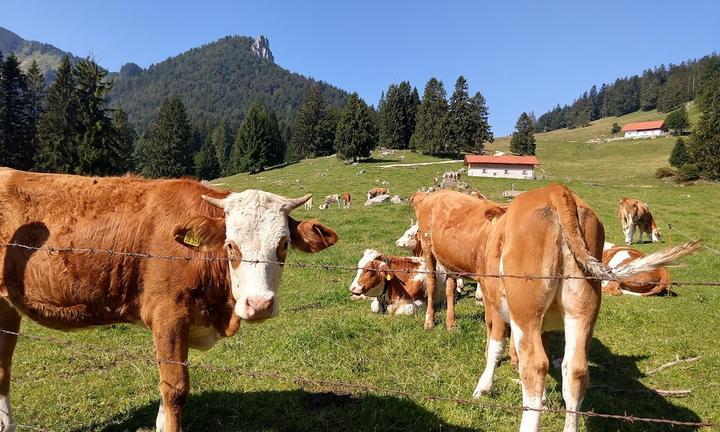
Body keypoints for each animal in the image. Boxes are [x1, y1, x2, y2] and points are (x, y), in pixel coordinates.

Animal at [414, 186, 700, 432]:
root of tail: (556, 190)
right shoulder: (545, 325)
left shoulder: (496, 304)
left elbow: (494, 345)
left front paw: (484, 386)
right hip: (582, 310)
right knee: (575, 370)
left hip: (525, 307)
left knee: (536, 365)